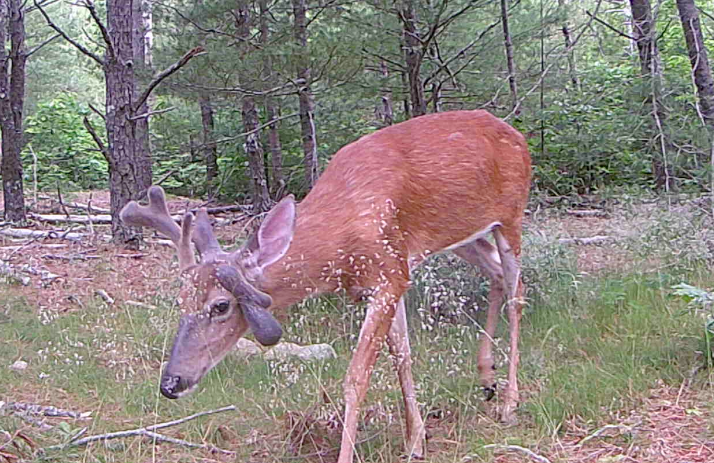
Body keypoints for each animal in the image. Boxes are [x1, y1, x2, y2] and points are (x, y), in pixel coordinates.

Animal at [119, 110, 528, 462]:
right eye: (181, 301)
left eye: (220, 305)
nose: (171, 383)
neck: (340, 240)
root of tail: (516, 133)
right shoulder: (392, 275)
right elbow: (403, 357)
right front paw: (416, 441)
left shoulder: (388, 276)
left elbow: (357, 377)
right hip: (463, 234)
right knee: (494, 272)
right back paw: (486, 378)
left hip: (511, 215)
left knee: (516, 290)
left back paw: (510, 402)